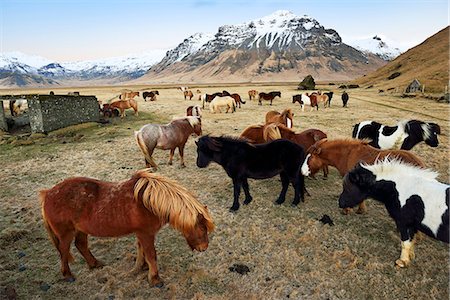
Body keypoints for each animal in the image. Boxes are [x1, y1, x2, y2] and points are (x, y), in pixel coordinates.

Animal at [39, 170, 214, 288]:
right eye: (202, 229)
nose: (204, 248)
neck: (149, 203)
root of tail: (48, 194)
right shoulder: (146, 233)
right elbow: (151, 254)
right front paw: (155, 278)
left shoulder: (141, 233)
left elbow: (142, 251)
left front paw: (143, 267)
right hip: (65, 233)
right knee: (63, 251)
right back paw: (68, 275)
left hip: (81, 230)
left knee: (81, 245)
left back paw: (95, 264)